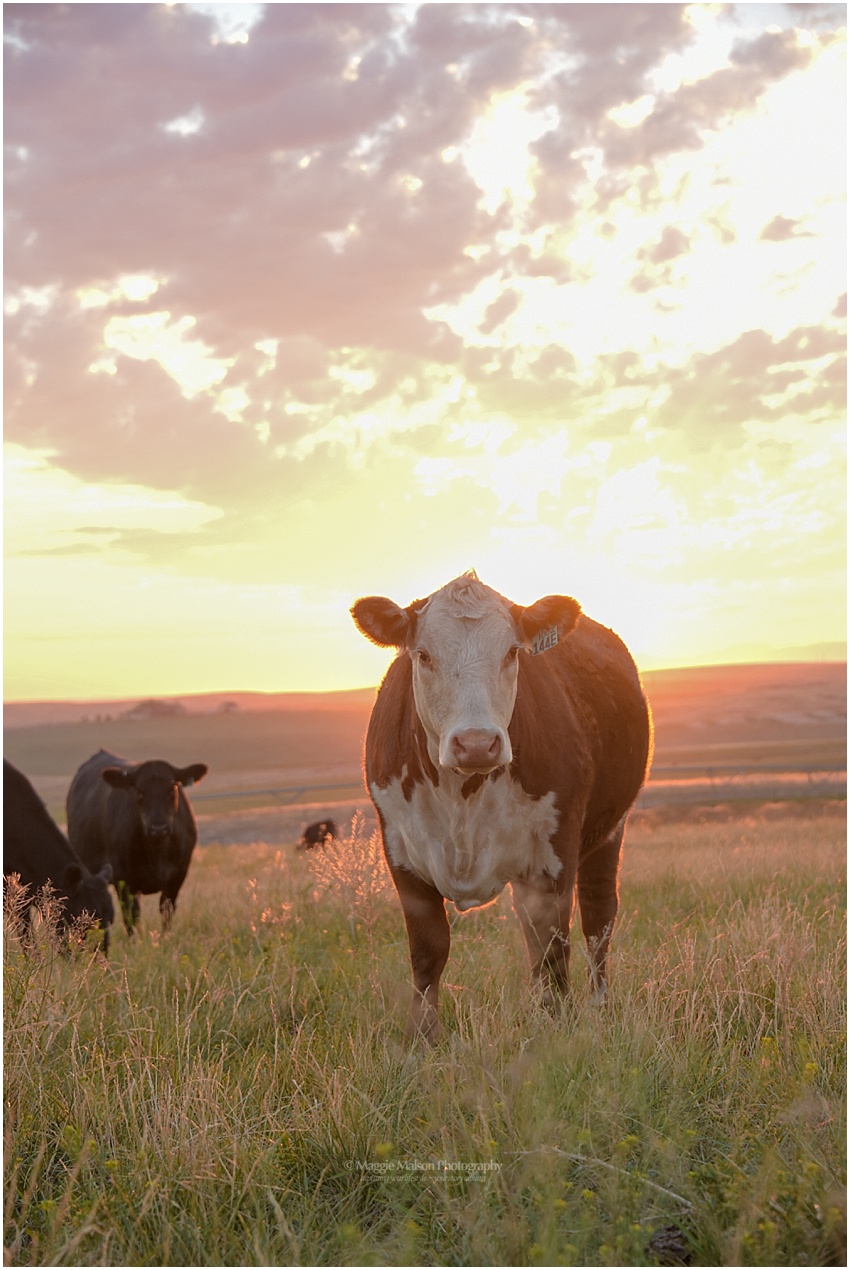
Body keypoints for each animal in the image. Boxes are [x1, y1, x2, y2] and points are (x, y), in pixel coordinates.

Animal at [66, 749, 208, 935]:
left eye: (173, 788)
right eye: (139, 791)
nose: (158, 827)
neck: (157, 852)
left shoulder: (178, 875)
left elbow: (167, 910)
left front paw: (165, 937)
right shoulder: (123, 879)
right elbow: (132, 915)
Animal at [351, 571, 652, 1040]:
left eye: (512, 651)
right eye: (423, 654)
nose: (476, 743)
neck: (462, 795)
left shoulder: (555, 857)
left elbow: (553, 950)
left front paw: (555, 1030)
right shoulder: (401, 853)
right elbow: (428, 950)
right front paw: (421, 1039)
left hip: (609, 831)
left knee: (598, 918)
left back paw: (600, 1006)